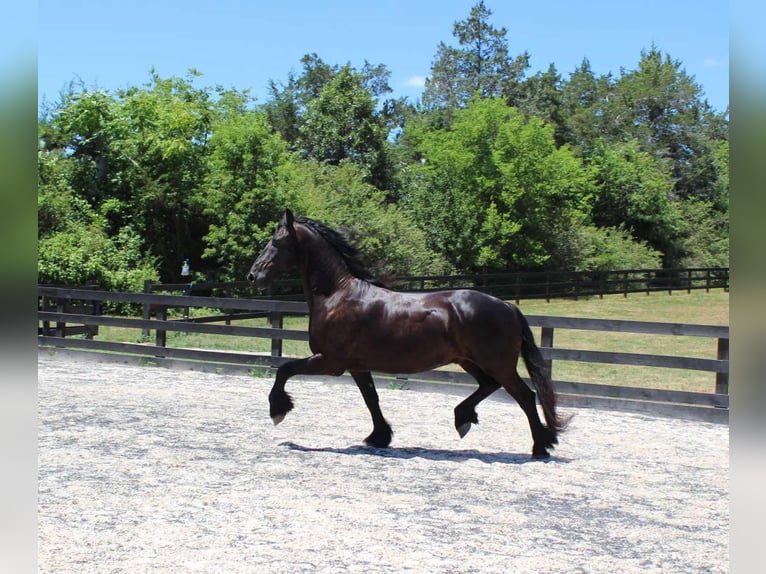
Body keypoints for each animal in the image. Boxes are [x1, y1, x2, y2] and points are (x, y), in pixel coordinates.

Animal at [247, 209, 568, 458]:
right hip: (469, 361)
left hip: (497, 363)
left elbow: (284, 369)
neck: (337, 294)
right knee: (489, 385)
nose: (253, 276)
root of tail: (508, 306)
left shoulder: (330, 361)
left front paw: (278, 410)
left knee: (525, 396)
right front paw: (379, 437)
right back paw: (463, 419)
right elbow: (371, 399)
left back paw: (541, 446)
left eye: (277, 241)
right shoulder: (356, 365)